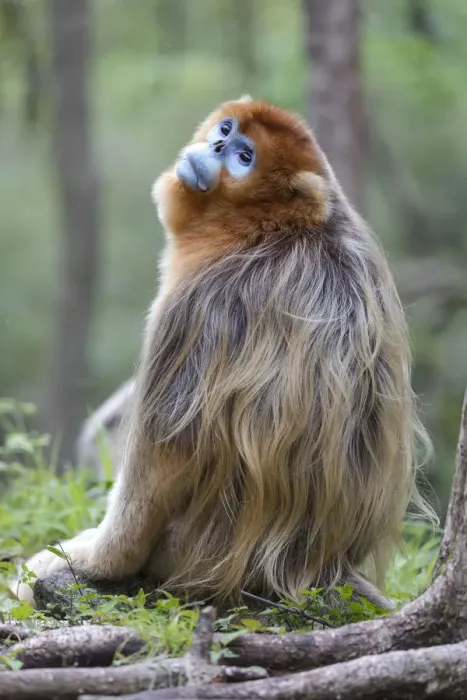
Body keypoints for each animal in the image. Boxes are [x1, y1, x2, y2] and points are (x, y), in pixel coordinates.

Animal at [14, 96, 436, 609]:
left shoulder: (196, 302)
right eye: (226, 131)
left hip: (188, 556)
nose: (216, 145)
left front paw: (92, 561)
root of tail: (321, 568)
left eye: (244, 157)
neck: (274, 229)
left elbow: (159, 465)